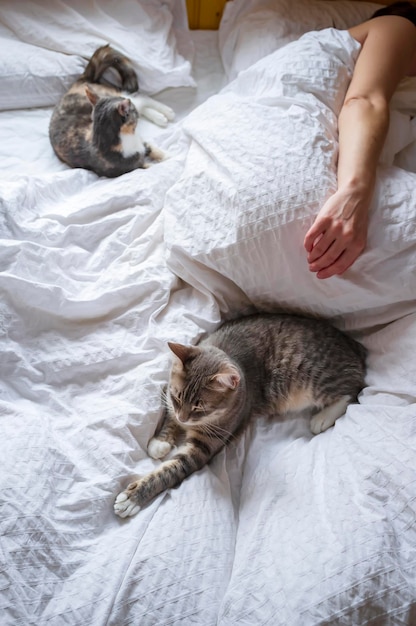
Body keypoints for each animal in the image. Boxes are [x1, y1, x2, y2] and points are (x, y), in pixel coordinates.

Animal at [49, 44, 174, 177]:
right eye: (132, 112)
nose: (130, 105)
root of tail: (80, 81)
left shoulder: (140, 142)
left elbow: (150, 147)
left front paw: (167, 155)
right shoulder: (131, 166)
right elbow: (151, 165)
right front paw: (169, 159)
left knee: (140, 98)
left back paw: (165, 113)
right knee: (140, 100)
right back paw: (163, 116)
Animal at [114, 310, 364, 516]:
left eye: (199, 407)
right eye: (178, 397)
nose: (184, 418)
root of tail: (353, 345)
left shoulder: (204, 446)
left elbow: (169, 470)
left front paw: (132, 497)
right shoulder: (170, 397)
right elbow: (169, 417)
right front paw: (161, 440)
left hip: (316, 377)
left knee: (352, 389)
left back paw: (323, 417)